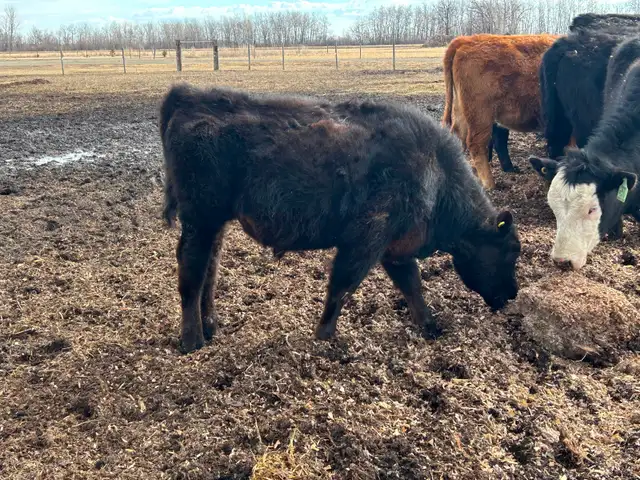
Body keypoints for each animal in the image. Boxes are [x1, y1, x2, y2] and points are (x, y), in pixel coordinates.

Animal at [160, 84, 522, 353]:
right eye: (511, 250)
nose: (512, 294)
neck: (435, 170)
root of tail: (190, 96)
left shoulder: (396, 248)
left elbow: (412, 287)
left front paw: (431, 326)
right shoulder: (366, 239)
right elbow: (344, 284)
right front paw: (325, 336)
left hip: (214, 224)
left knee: (210, 271)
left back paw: (211, 327)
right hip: (200, 219)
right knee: (191, 272)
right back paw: (192, 341)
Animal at [442, 33, 559, 189]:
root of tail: (465, 40)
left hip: (462, 113)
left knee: (457, 138)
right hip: (481, 117)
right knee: (476, 144)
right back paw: (490, 184)